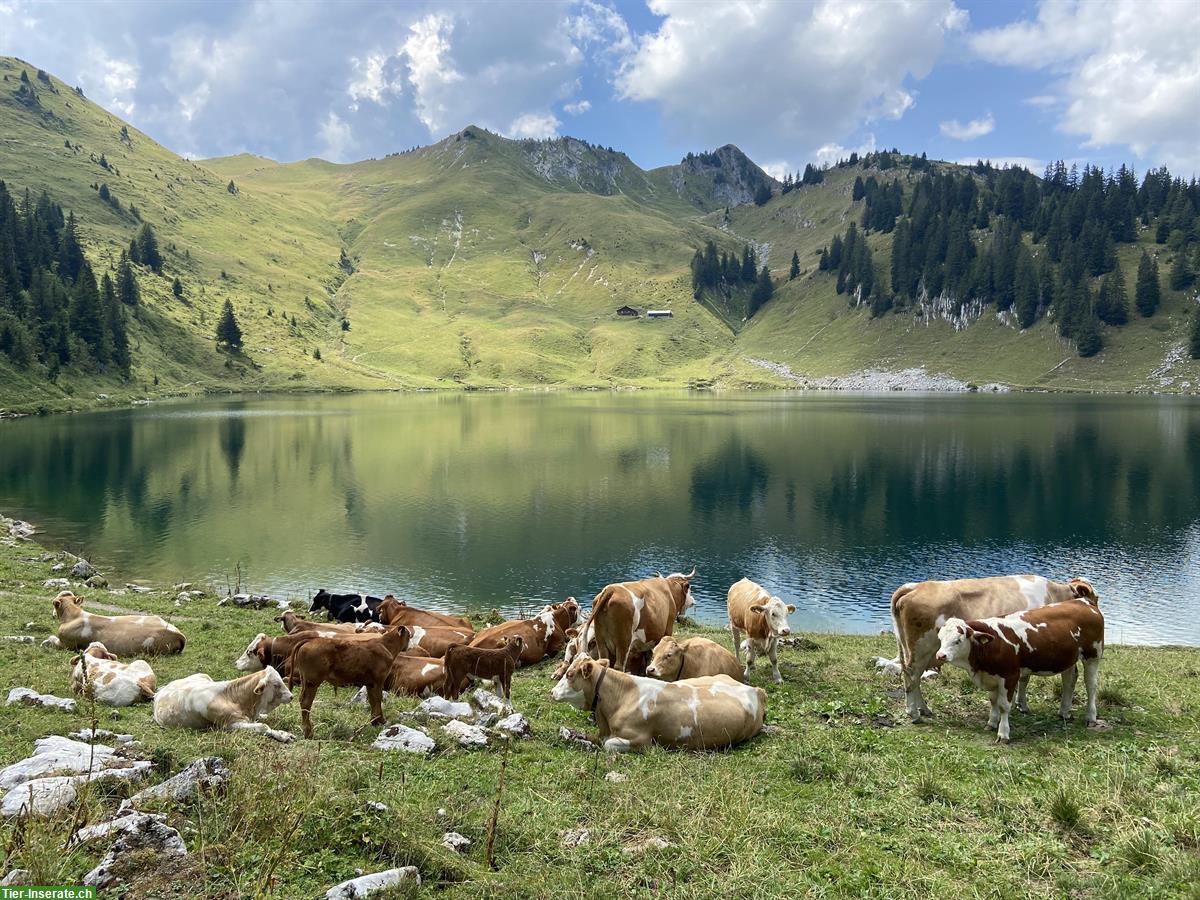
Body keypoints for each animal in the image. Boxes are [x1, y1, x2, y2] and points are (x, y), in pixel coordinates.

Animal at [154, 667, 295, 744]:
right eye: (276, 684)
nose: (291, 696)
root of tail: (160, 691)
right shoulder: (229, 725)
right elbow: (263, 726)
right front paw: (283, 735)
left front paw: (283, 733)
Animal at [549, 657, 763, 753]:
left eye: (570, 674)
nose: (552, 692)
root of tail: (755, 690)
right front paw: (573, 735)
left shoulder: (641, 740)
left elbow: (609, 744)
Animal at [892, 578, 1099, 724]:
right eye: (1095, 597)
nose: (1095, 609)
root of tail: (914, 587)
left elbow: (1025, 679)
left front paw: (1021, 704)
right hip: (921, 649)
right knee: (911, 677)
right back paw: (914, 713)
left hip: (913, 650)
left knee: (914, 678)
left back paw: (924, 709)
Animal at [936, 595, 1104, 744]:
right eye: (940, 638)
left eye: (958, 640)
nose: (940, 655)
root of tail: (1083, 601)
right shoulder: (992, 676)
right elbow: (993, 701)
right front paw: (991, 723)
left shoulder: (1010, 676)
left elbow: (1004, 706)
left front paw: (1003, 734)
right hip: (1068, 659)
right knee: (1069, 681)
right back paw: (1064, 712)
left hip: (1093, 655)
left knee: (1091, 685)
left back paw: (1091, 717)